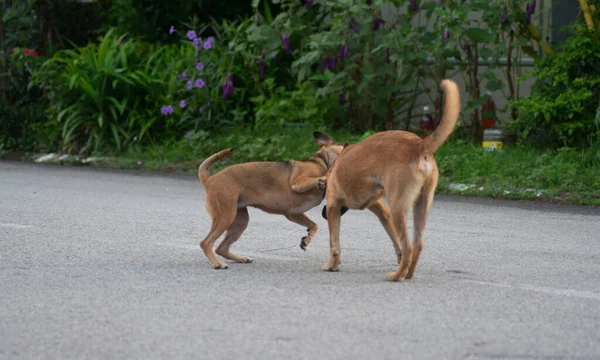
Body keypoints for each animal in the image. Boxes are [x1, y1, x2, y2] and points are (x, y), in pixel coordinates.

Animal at [197, 131, 346, 268]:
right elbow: (323, 176)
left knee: (220, 248)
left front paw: (306, 239)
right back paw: (217, 263)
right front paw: (324, 179)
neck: (320, 162)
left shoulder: (293, 213)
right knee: (206, 243)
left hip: (239, 221)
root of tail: (209, 179)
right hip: (226, 216)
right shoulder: (298, 183)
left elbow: (314, 225)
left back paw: (240, 258)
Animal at [322, 79, 462, 282]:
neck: (339, 158)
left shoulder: (333, 207)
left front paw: (332, 265)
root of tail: (419, 145)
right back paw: (407, 274)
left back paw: (396, 276)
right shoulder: (380, 210)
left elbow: (334, 243)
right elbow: (394, 242)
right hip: (421, 204)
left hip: (398, 205)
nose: (320, 182)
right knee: (417, 244)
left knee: (408, 245)